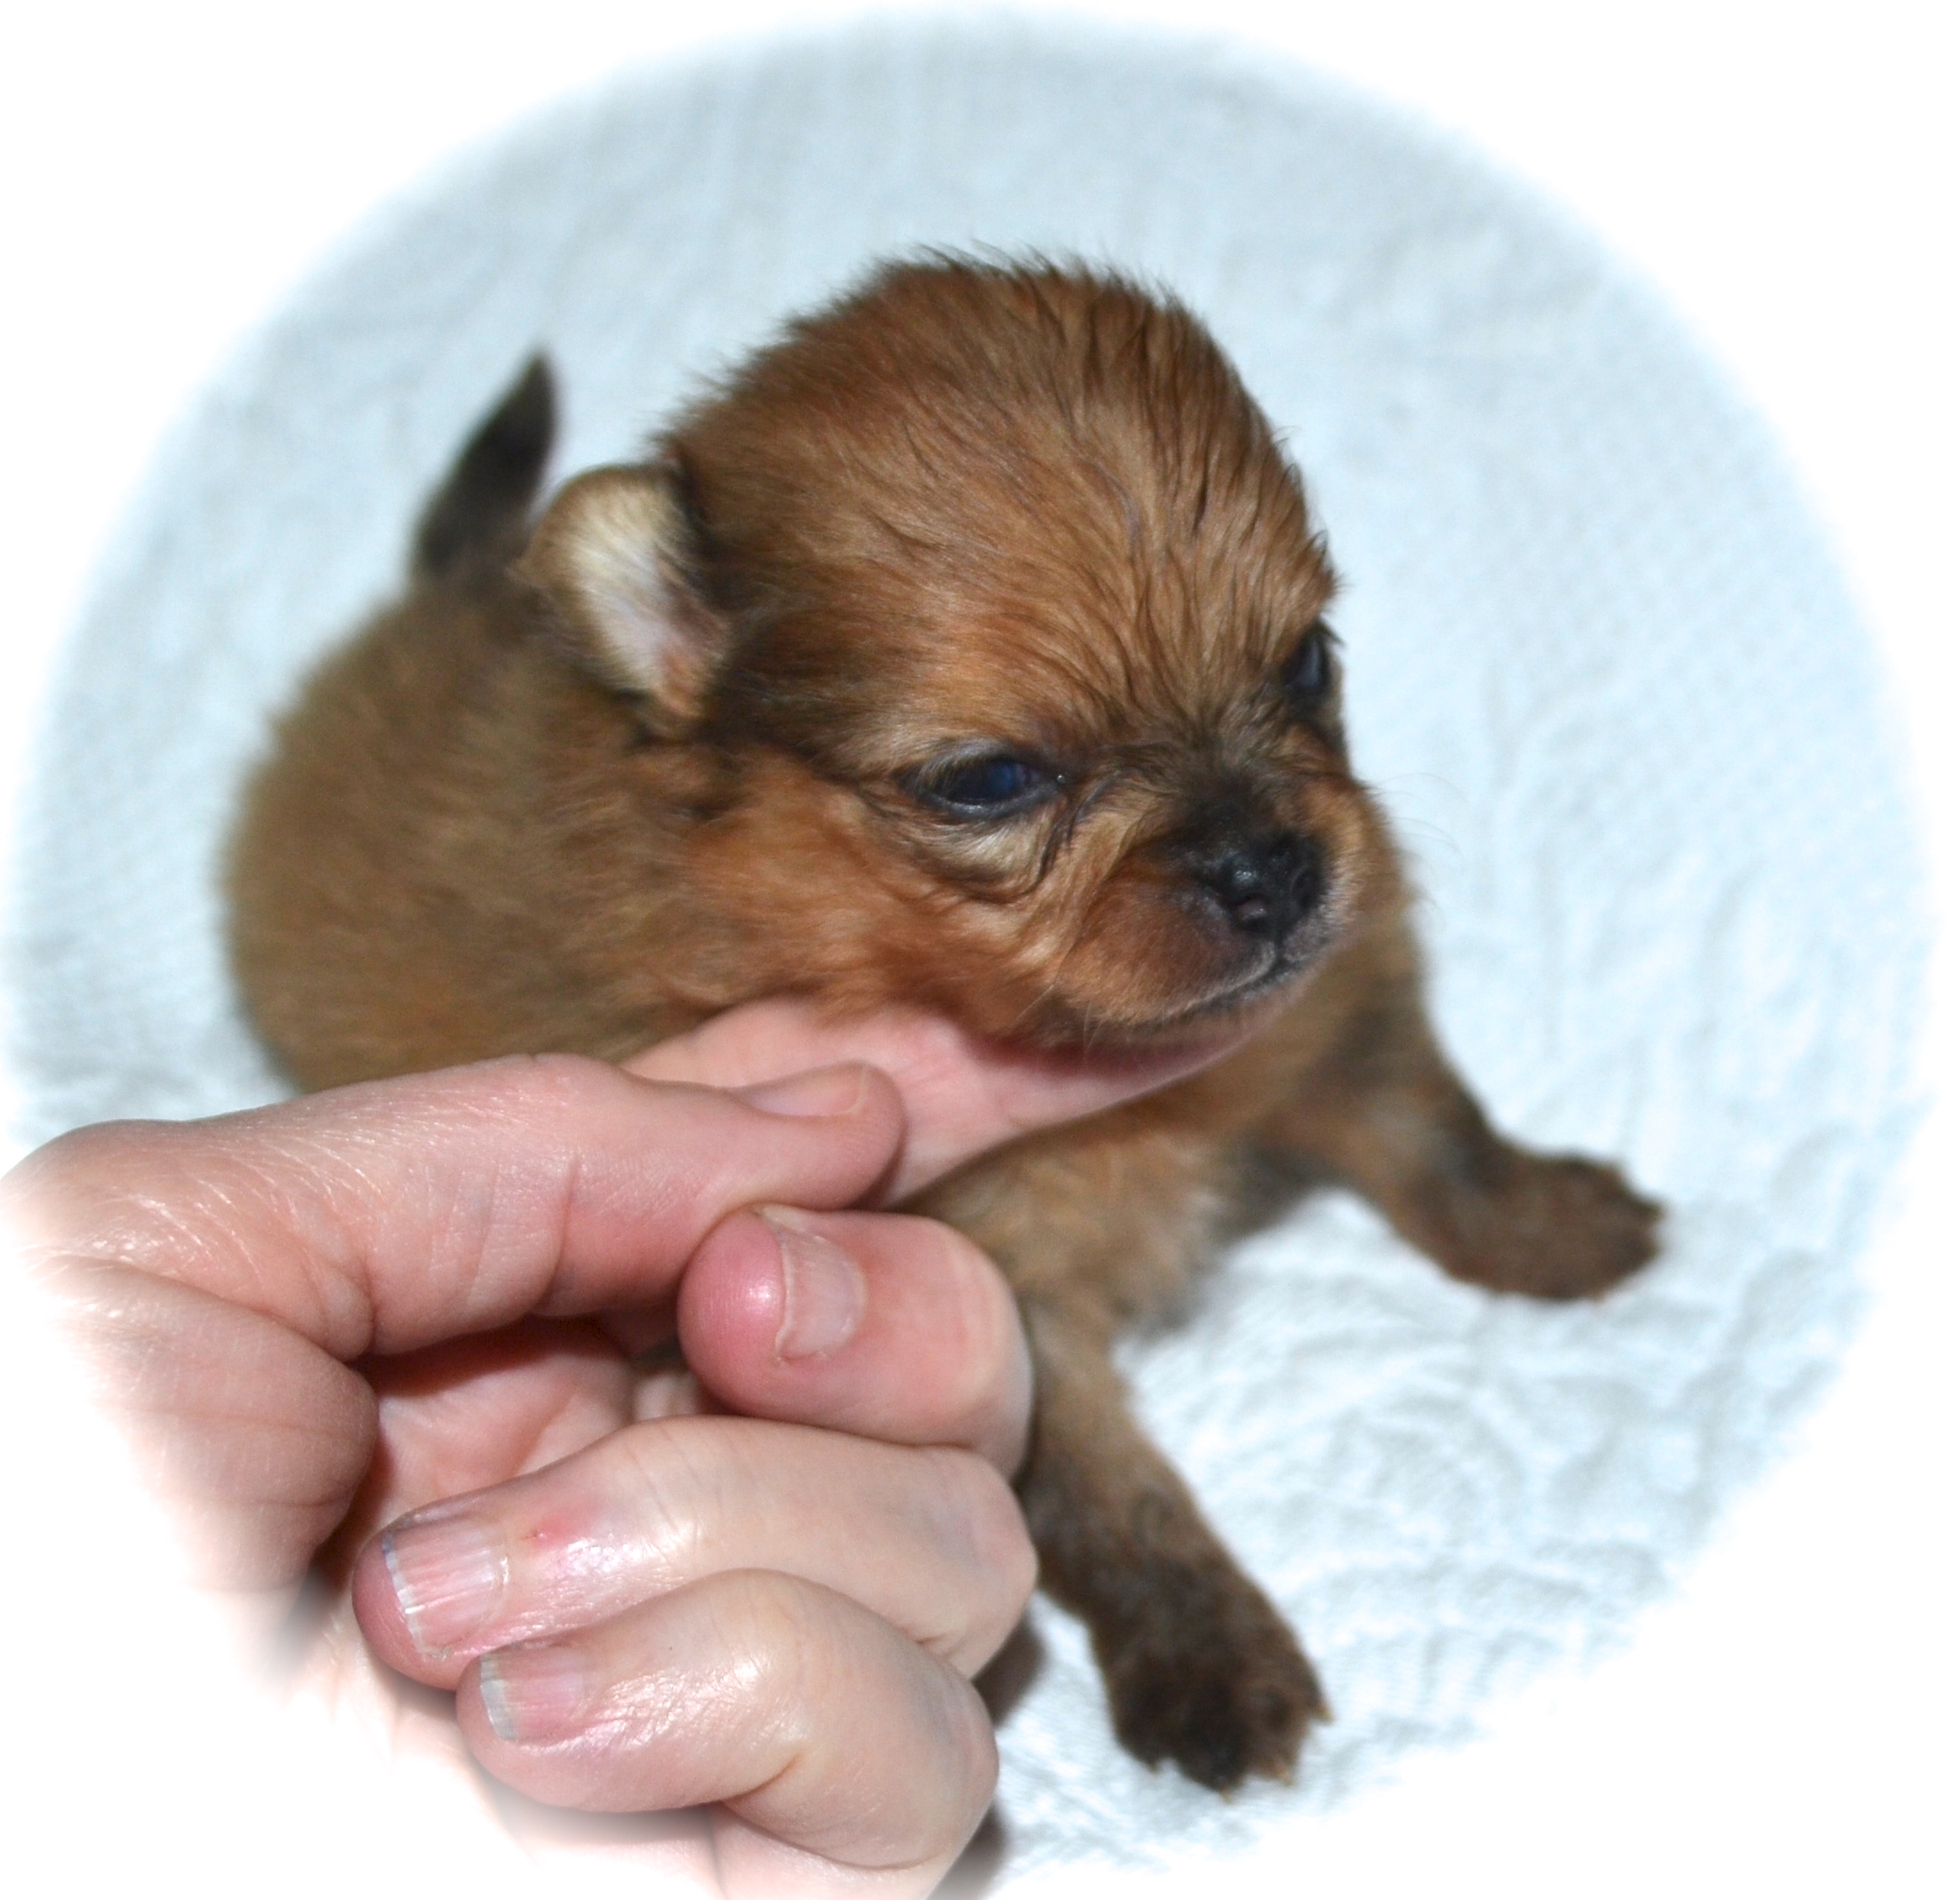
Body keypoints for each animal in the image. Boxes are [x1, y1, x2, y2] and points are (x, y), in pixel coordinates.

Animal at [228, 256, 1660, 1791]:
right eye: (987, 780)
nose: (1269, 869)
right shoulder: (984, 1272)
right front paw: (1209, 1654)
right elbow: (1108, 1492)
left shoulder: (1332, 1011)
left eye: (1307, 664)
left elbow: (1441, 1140)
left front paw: (1556, 1224)